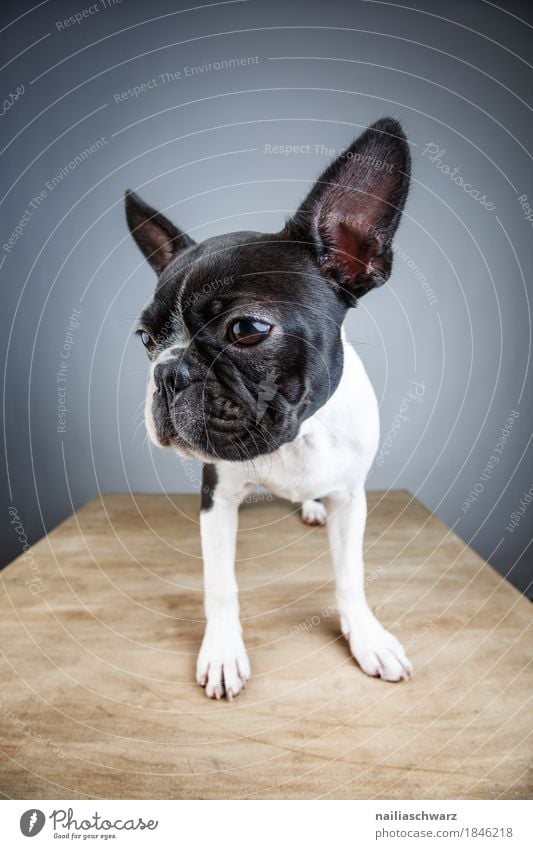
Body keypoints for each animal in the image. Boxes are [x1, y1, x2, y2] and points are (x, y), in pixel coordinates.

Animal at [127, 116, 414, 700]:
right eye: (145, 338)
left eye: (247, 329)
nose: (167, 372)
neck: (296, 435)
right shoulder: (217, 498)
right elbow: (220, 585)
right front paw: (222, 652)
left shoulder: (351, 499)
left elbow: (350, 577)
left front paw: (366, 636)